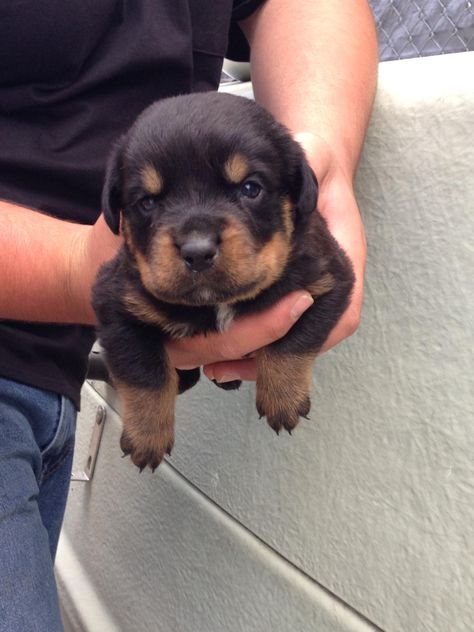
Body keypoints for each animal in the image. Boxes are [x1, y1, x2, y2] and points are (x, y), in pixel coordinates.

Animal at [91, 92, 352, 470]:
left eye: (250, 188)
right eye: (147, 202)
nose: (198, 251)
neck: (217, 303)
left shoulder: (328, 277)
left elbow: (294, 341)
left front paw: (283, 399)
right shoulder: (114, 303)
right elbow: (145, 371)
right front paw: (147, 437)